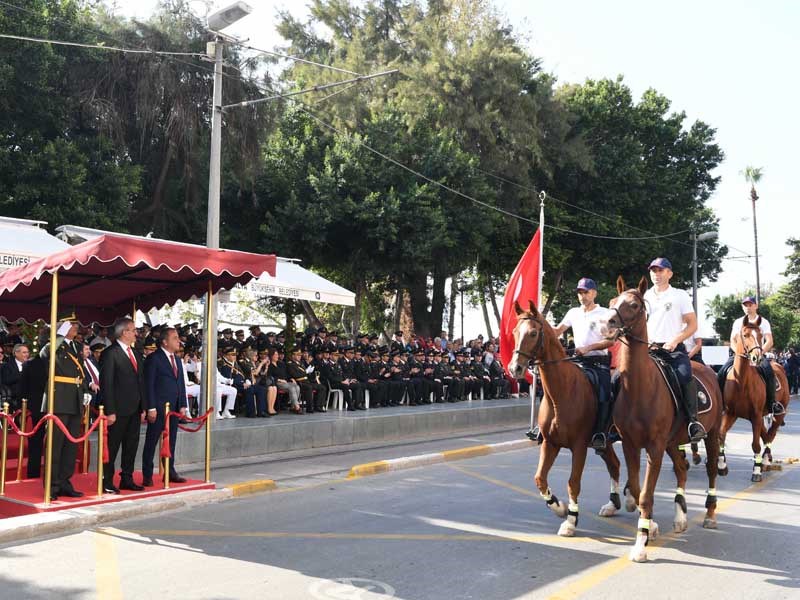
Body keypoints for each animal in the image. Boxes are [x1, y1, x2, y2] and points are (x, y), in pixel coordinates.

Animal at [506, 302, 624, 536]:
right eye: (515, 332)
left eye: (533, 333)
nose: (515, 368)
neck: (561, 393)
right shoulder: (550, 443)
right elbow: (540, 478)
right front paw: (558, 507)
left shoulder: (579, 446)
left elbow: (573, 482)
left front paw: (570, 520)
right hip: (605, 442)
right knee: (614, 465)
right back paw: (613, 504)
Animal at [604, 278, 720, 564]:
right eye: (612, 301)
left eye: (634, 305)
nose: (607, 323)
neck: (638, 388)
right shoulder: (631, 445)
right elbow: (636, 489)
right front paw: (651, 528)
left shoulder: (654, 447)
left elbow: (646, 495)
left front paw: (640, 545)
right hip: (672, 442)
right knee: (681, 469)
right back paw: (681, 517)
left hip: (711, 434)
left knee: (712, 469)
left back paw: (710, 514)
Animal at [716, 318, 792, 482]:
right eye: (745, 335)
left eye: (761, 335)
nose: (757, 356)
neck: (741, 381)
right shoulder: (731, 414)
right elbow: (721, 435)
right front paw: (721, 466)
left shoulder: (756, 416)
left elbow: (755, 444)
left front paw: (756, 472)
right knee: (766, 434)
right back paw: (765, 460)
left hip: (778, 413)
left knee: (771, 434)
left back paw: (765, 461)